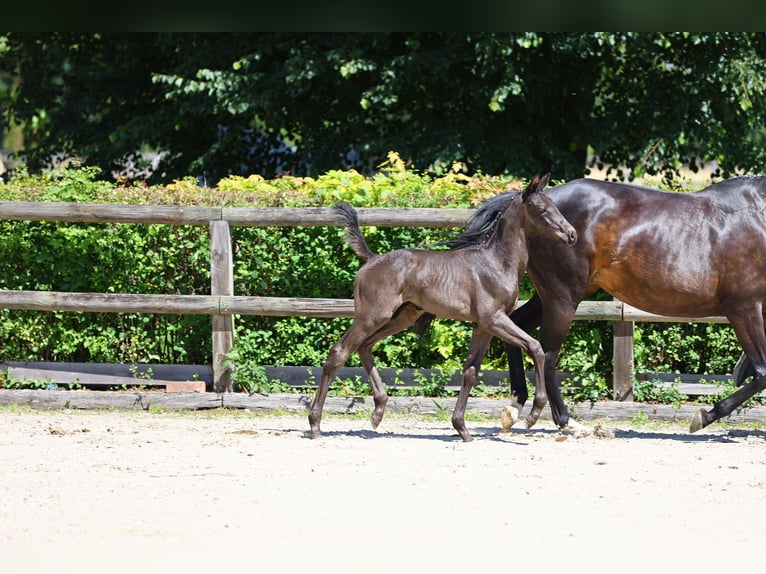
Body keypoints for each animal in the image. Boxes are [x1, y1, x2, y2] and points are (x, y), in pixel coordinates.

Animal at [306, 173, 576, 444]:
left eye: (555, 206)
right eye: (542, 210)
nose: (572, 234)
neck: (496, 262)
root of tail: (372, 259)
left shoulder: (482, 326)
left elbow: (470, 371)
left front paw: (462, 428)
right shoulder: (494, 319)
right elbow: (536, 347)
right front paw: (533, 414)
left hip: (403, 316)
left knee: (364, 346)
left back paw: (378, 412)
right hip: (371, 316)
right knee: (339, 352)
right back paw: (316, 424)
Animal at [438, 178, 766, 434]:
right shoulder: (744, 308)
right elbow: (762, 373)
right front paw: (703, 417)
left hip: (550, 296)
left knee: (520, 330)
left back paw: (516, 406)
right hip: (563, 297)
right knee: (547, 352)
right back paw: (564, 420)